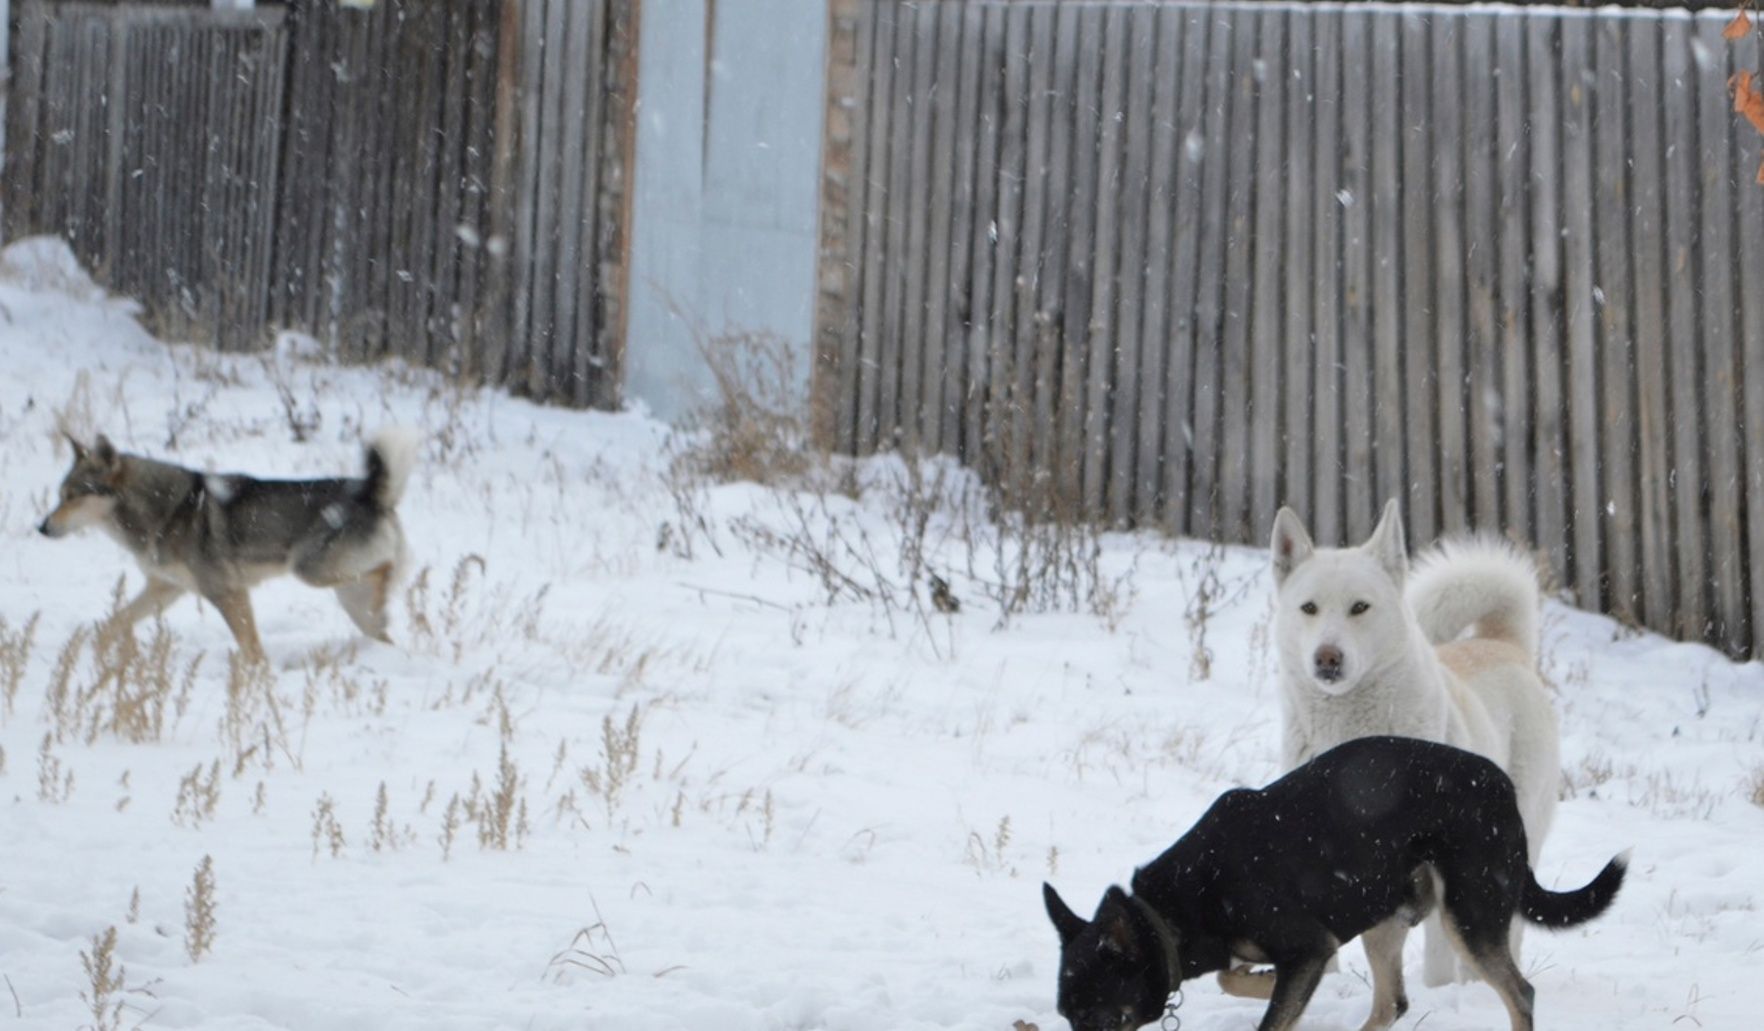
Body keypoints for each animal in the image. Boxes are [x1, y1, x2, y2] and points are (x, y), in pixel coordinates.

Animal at [1037, 737, 1629, 1031]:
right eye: (1066, 1016)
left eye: (1093, 1018)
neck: (1172, 910)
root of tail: (1505, 788)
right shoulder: (1304, 953)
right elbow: (1235, 979)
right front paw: (1257, 980)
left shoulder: (1308, 946)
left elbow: (1270, 1014)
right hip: (1382, 910)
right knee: (1392, 1005)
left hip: (1468, 913)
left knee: (1520, 994)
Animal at [1270, 504, 1559, 988]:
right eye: (1309, 608)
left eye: (1360, 607)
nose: (1327, 658)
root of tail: (1502, 642)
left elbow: (1436, 956)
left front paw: (1437, 994)